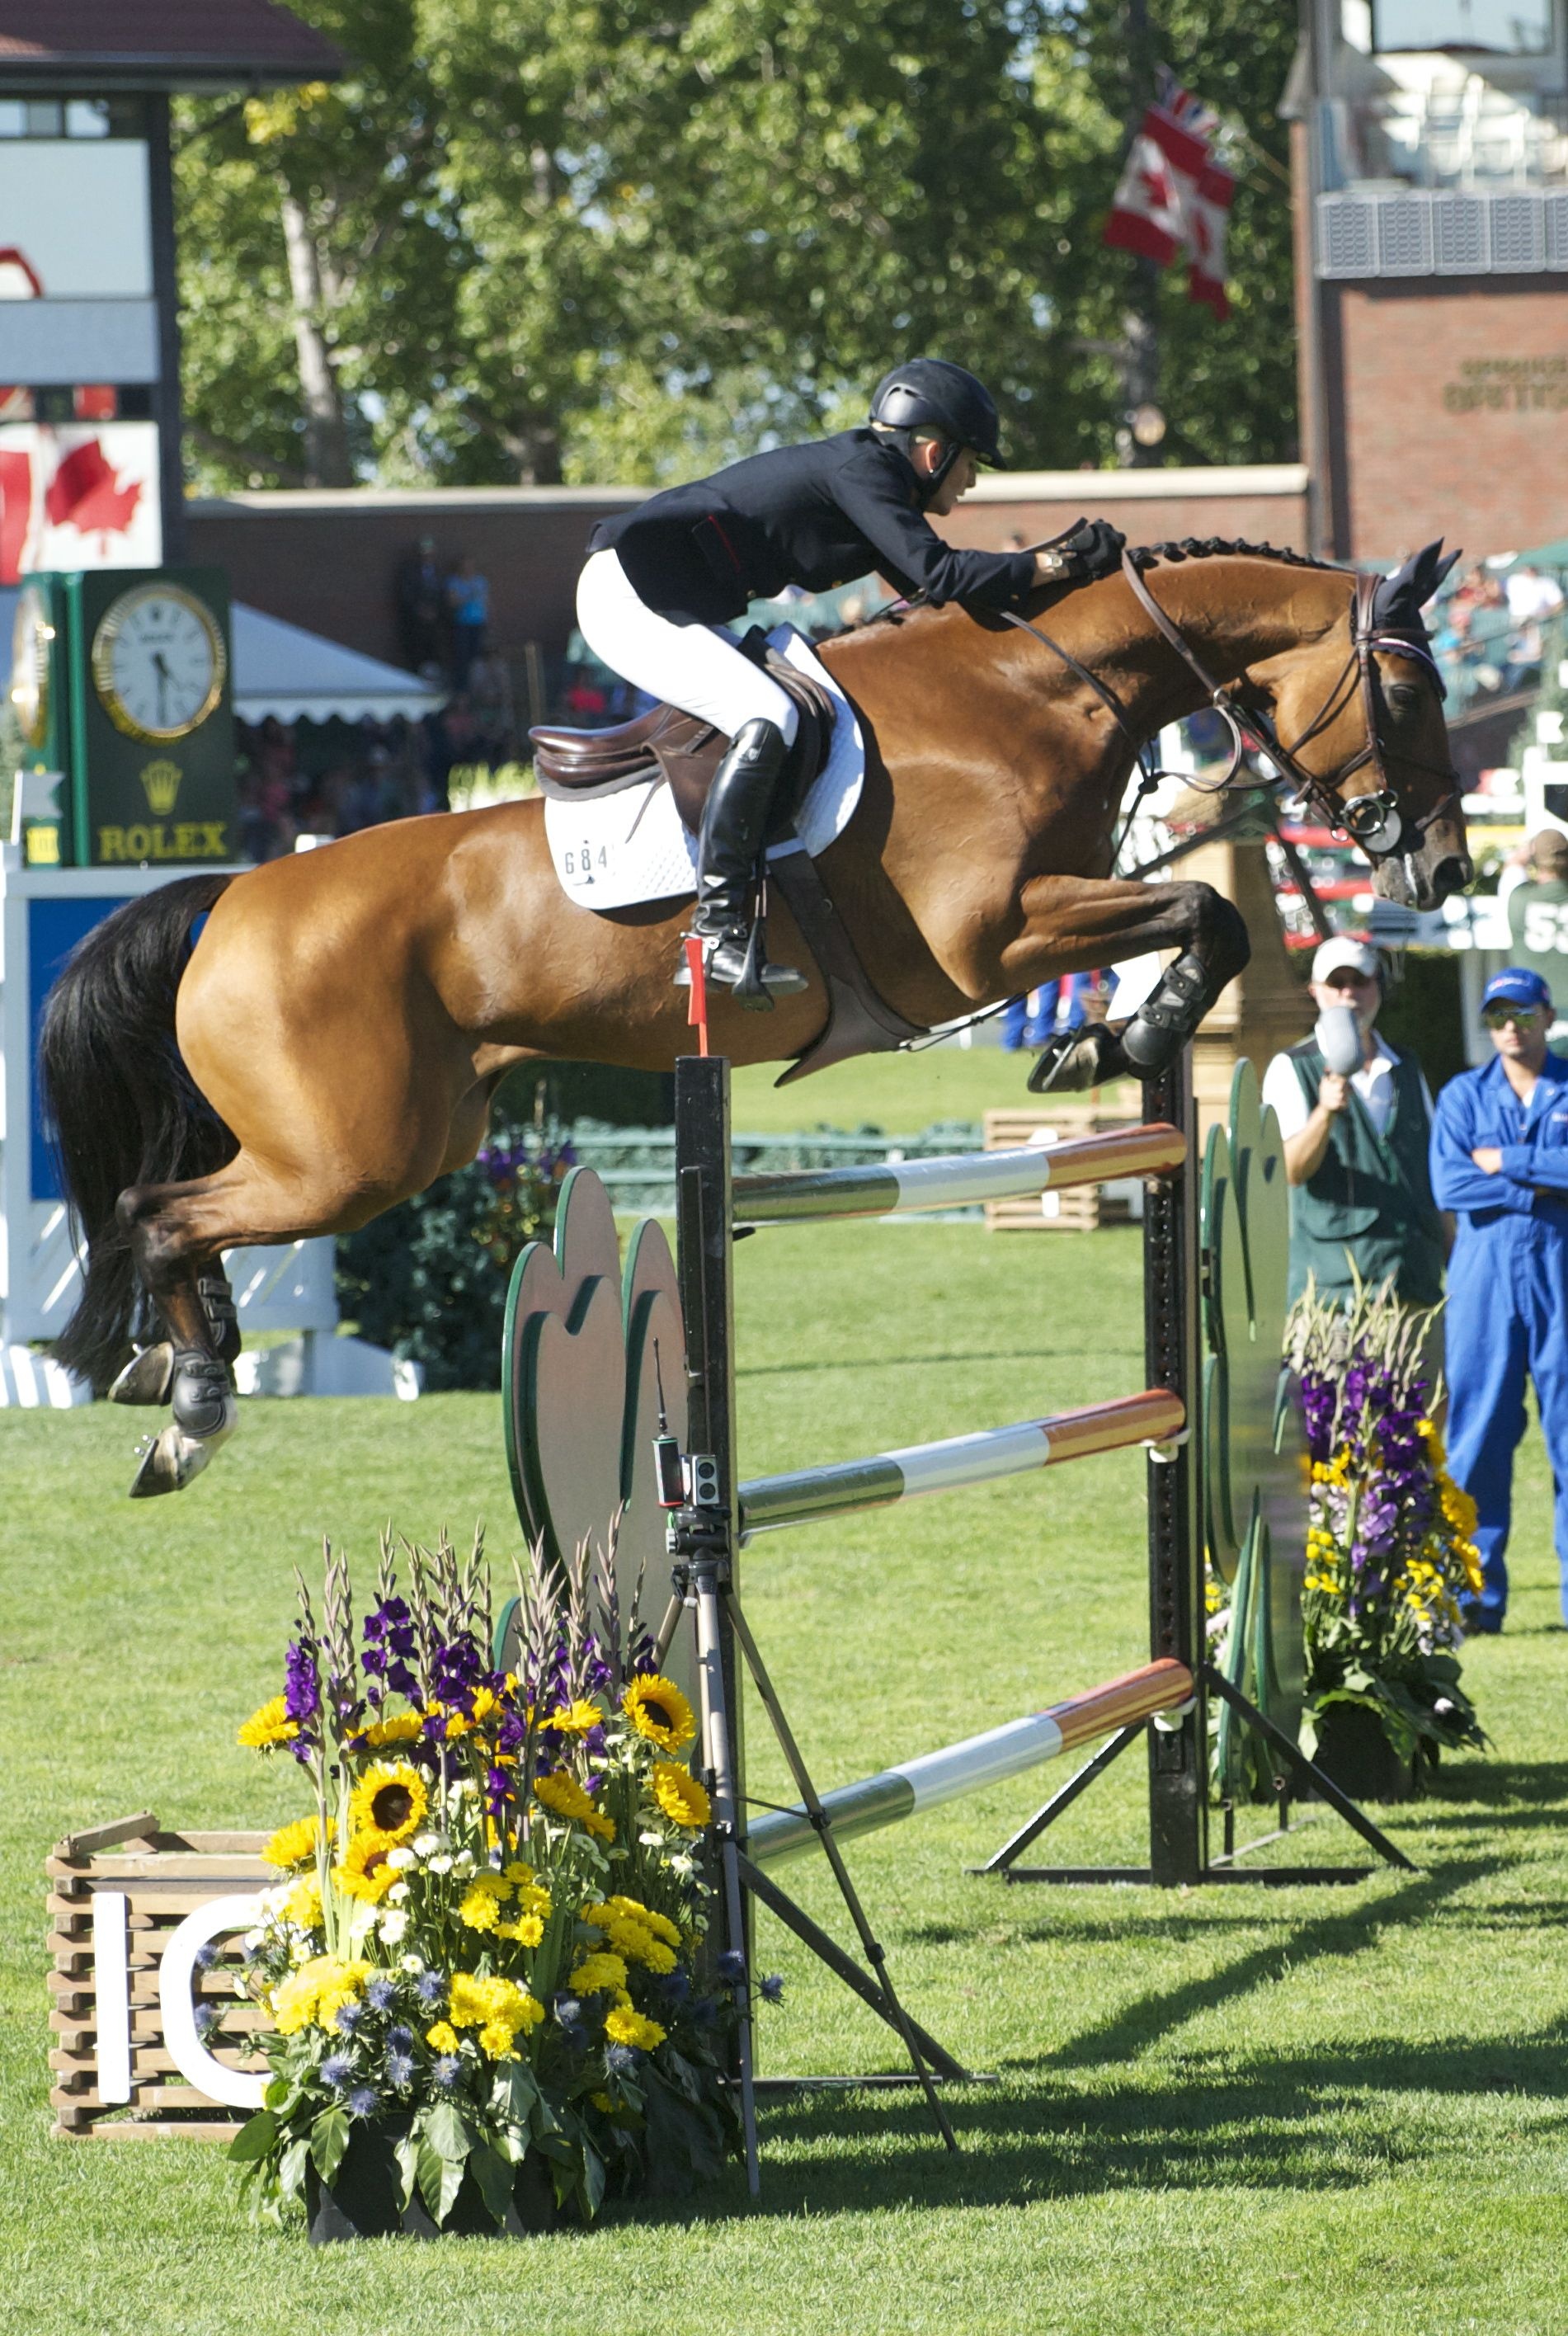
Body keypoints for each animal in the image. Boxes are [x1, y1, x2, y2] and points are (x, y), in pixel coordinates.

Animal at [40, 535, 1476, 1495]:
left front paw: (1106, 1038)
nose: (1444, 872)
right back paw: (192, 1405)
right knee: (159, 1213)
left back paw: (170, 1374)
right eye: (1409, 692)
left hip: (412, 1137)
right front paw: (1124, 1036)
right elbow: (1209, 912)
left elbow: (1203, 918)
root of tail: (237, 895)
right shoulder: (989, 941)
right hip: (349, 1155)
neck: (1033, 690)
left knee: (180, 1218)